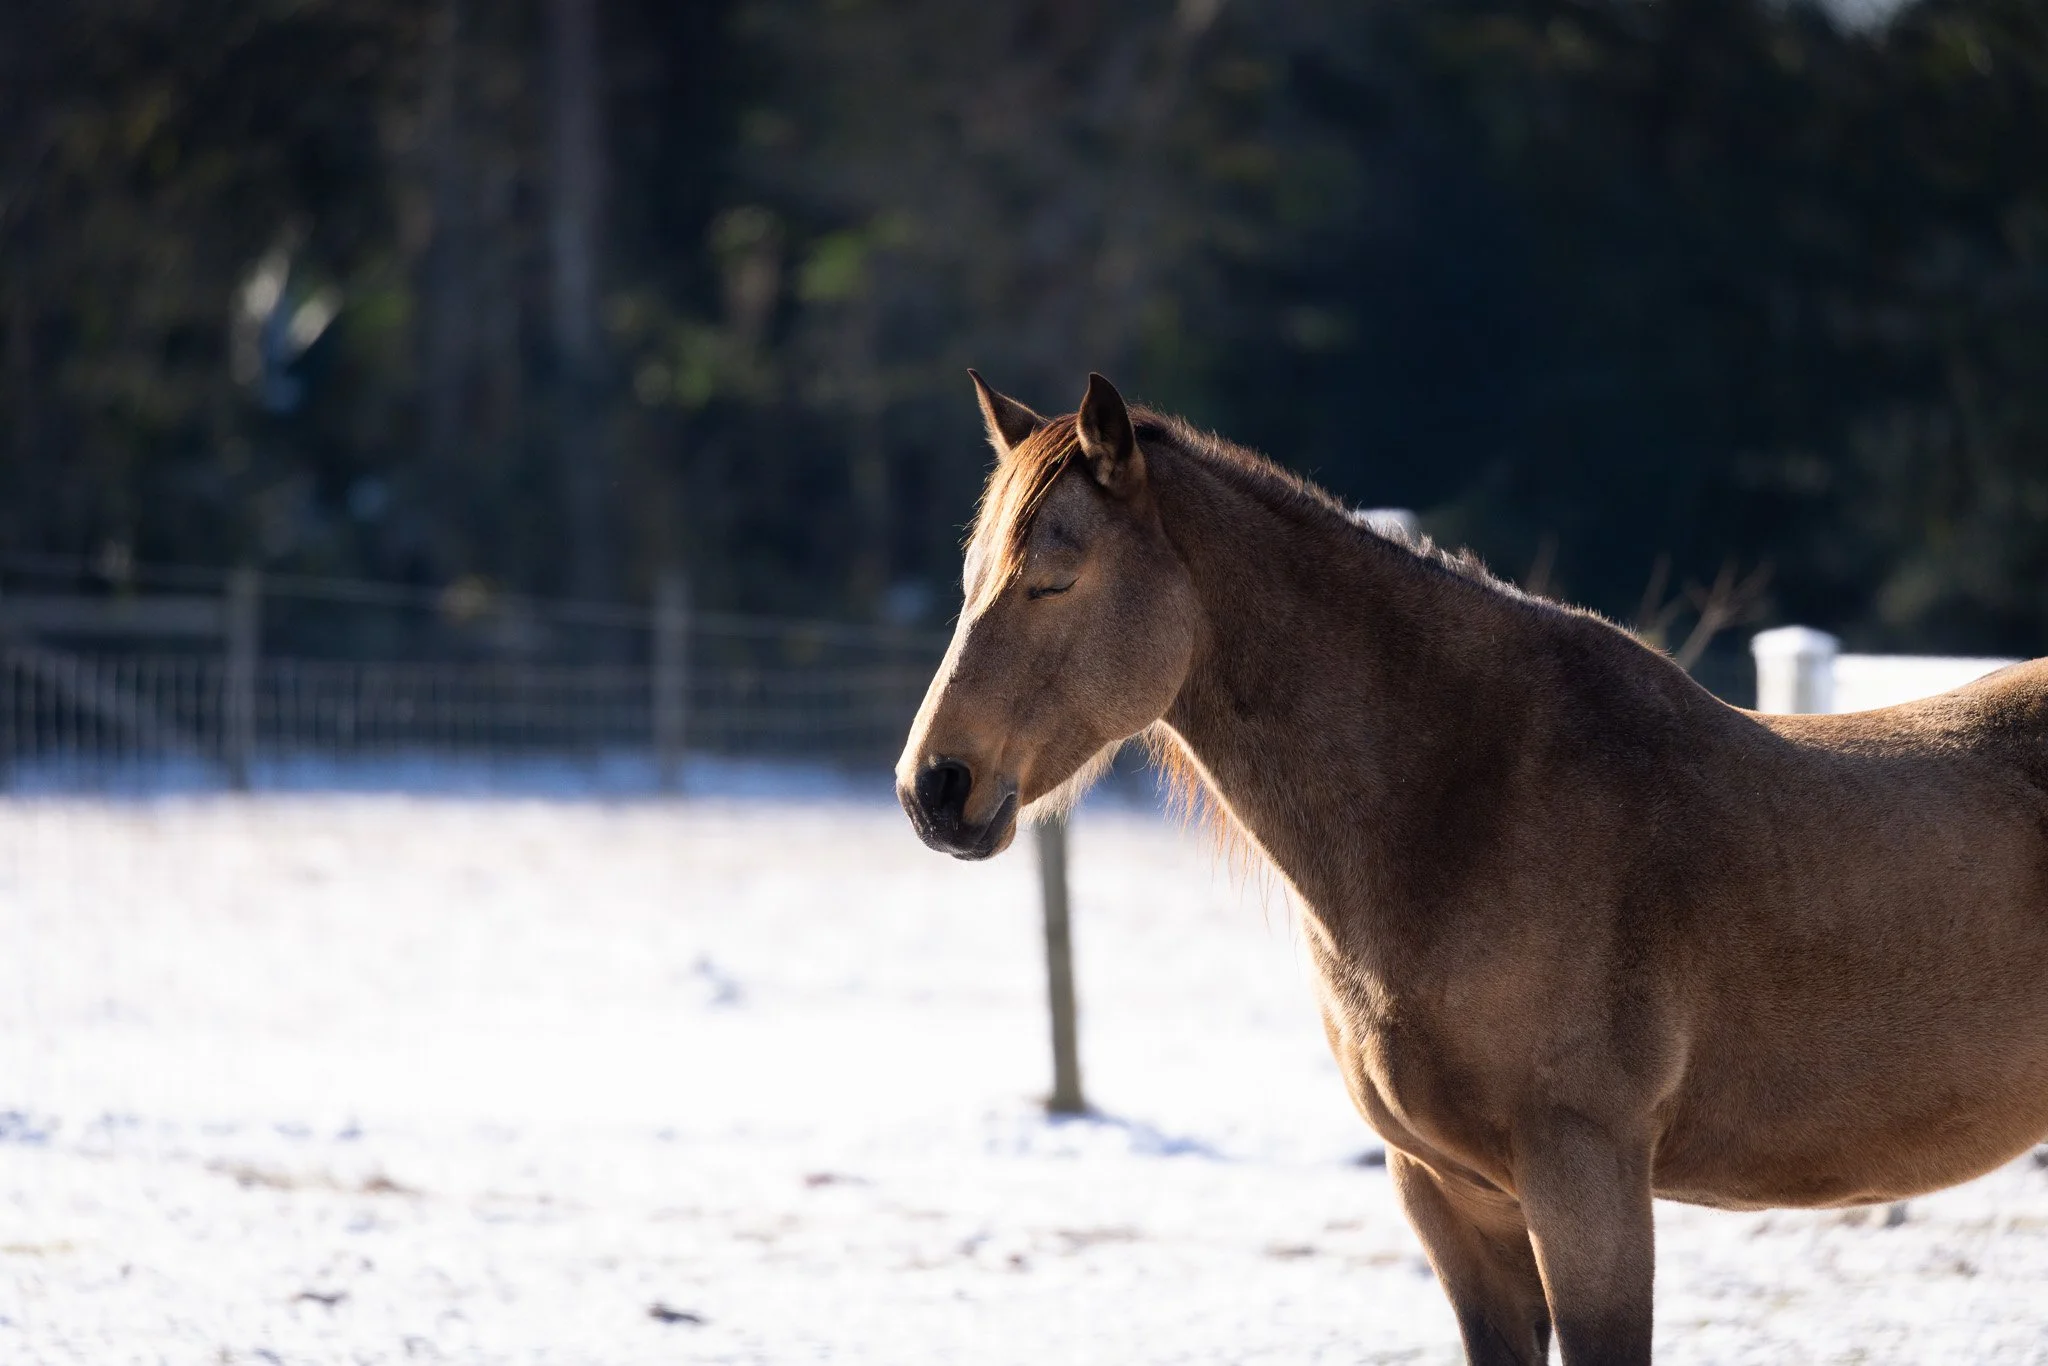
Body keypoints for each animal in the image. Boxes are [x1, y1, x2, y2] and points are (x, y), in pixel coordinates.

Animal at [894, 371, 2048, 1365]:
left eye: (1054, 578)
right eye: (970, 579)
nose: (933, 788)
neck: (1468, 807)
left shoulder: (1585, 1181)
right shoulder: (1450, 1197)